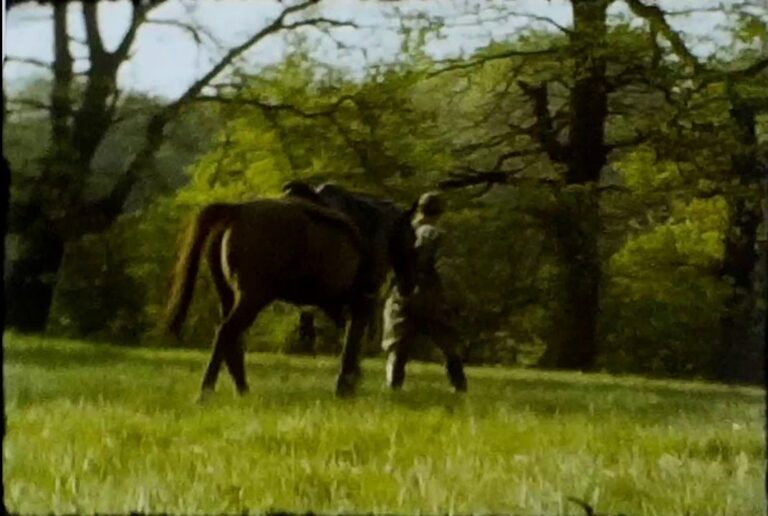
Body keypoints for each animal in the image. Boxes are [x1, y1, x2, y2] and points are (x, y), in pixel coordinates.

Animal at [164, 198, 416, 400]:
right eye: (411, 237)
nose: (409, 286)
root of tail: (236, 211)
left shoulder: (343, 308)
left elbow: (350, 343)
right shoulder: (360, 305)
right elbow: (351, 344)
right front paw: (345, 387)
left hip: (228, 297)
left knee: (231, 340)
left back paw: (242, 390)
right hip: (251, 299)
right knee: (226, 333)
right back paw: (206, 391)